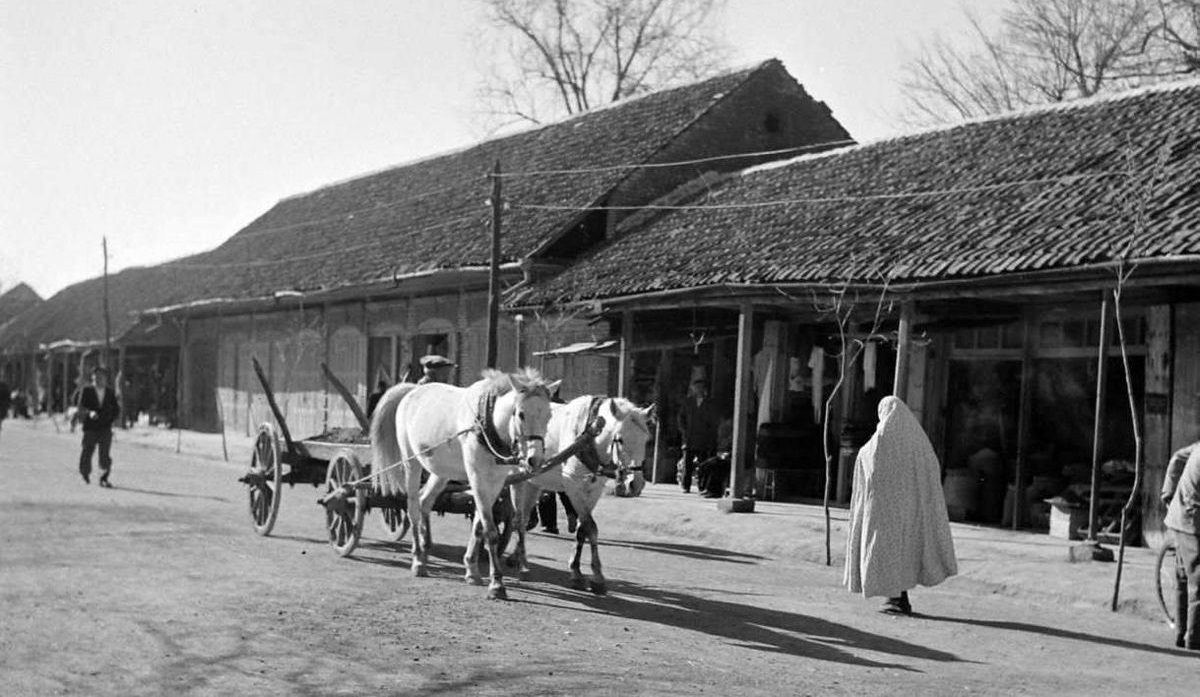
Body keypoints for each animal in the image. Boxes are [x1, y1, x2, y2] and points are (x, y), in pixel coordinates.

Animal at [369, 367, 556, 599]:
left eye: (549, 415)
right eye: (521, 414)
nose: (534, 459)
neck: (486, 422)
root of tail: (412, 390)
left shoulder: (496, 481)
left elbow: (479, 526)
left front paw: (471, 570)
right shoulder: (477, 477)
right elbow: (490, 530)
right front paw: (496, 583)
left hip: (441, 471)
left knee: (424, 501)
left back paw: (425, 550)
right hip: (411, 462)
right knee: (412, 507)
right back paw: (418, 560)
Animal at [506, 395, 657, 592]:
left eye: (646, 440)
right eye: (620, 439)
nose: (635, 484)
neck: (589, 437)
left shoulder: (595, 490)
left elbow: (582, 529)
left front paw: (576, 570)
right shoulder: (573, 486)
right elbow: (591, 527)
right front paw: (597, 576)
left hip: (534, 483)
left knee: (523, 519)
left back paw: (516, 557)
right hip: (517, 479)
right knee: (518, 519)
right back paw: (521, 564)